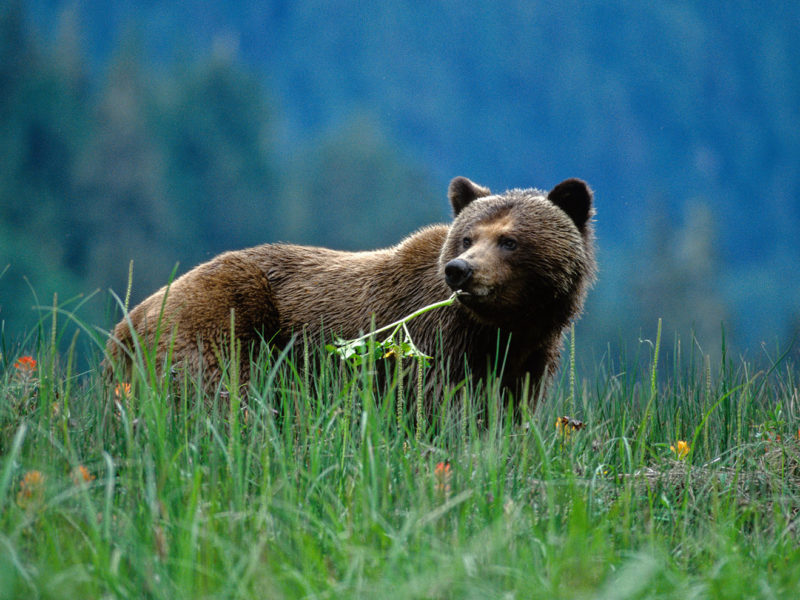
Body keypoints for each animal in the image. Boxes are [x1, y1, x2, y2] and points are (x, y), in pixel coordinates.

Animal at [106, 177, 592, 408]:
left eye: (509, 240)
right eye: (468, 237)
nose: (460, 271)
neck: (502, 328)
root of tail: (129, 320)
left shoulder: (526, 359)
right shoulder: (435, 344)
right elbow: (440, 409)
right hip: (222, 319)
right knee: (218, 393)